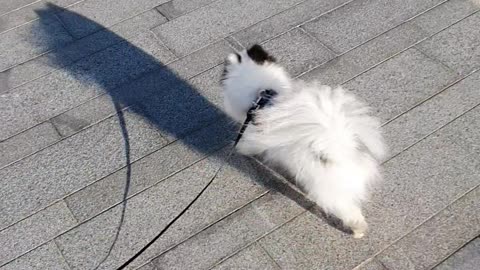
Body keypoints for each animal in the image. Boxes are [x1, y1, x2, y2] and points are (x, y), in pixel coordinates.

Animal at [222, 44, 386, 238]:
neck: (261, 92)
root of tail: (340, 150)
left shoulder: (251, 132)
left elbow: (247, 144)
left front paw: (240, 150)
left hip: (329, 191)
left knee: (348, 212)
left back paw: (357, 231)